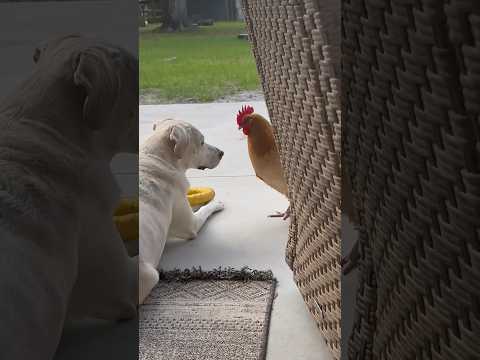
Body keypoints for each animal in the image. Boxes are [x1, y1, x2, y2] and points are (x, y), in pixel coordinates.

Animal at [139, 119, 225, 302]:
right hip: (151, 275)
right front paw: (216, 203)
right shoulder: (190, 225)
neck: (158, 158)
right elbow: (203, 210)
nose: (222, 152)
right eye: (202, 142)